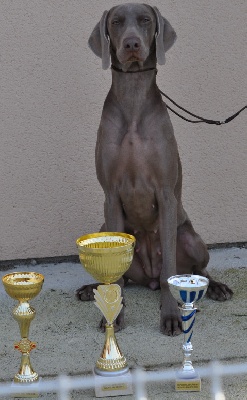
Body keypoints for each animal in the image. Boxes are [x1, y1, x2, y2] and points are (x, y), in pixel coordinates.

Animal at [77, 3, 233, 334]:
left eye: (146, 20)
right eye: (116, 21)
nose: (132, 44)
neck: (133, 99)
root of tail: (146, 275)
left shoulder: (165, 192)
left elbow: (169, 272)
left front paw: (171, 315)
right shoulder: (110, 194)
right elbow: (116, 281)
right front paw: (113, 317)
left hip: (191, 238)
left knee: (196, 270)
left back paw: (216, 287)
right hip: (103, 227)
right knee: (122, 276)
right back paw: (90, 288)